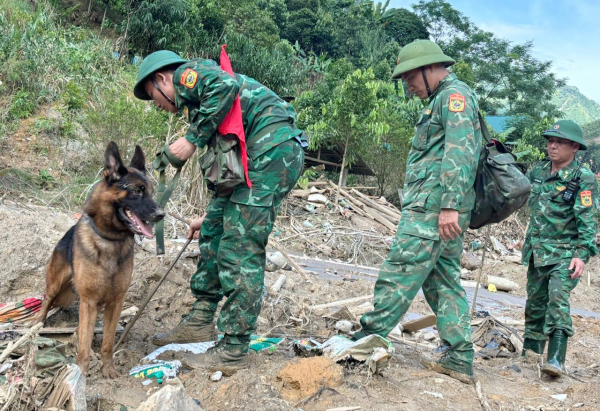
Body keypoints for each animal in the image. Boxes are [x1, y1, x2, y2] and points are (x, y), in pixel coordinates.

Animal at [36, 142, 165, 380]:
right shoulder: (88, 302)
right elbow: (85, 344)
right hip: (56, 283)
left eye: (151, 191)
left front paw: (108, 369)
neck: (111, 240)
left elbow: (107, 342)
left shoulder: (115, 302)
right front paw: (82, 370)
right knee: (46, 300)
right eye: (137, 191)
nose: (162, 214)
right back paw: (37, 324)